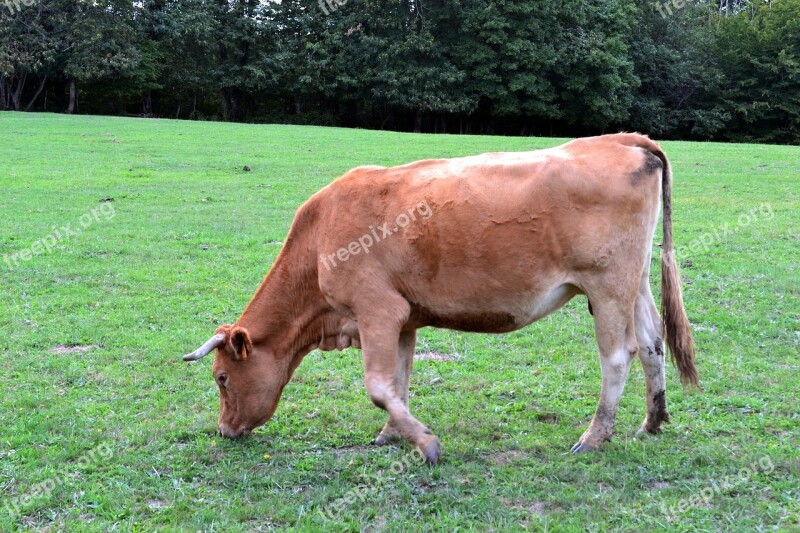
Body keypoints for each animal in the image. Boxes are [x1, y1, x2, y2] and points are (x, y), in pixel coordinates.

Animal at [184, 132, 696, 462]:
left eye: (222, 378)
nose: (224, 431)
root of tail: (622, 139)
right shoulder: (404, 318)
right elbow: (399, 380)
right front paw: (393, 434)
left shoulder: (377, 310)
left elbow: (379, 386)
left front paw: (426, 444)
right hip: (635, 282)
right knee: (652, 344)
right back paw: (652, 421)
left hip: (606, 286)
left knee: (619, 356)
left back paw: (594, 436)